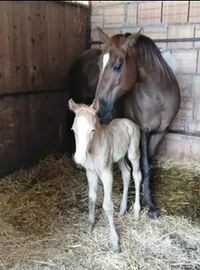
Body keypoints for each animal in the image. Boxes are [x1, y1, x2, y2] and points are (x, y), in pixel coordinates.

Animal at [69, 98, 142, 252]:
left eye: (92, 130)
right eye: (73, 130)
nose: (79, 158)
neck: (92, 148)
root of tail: (129, 122)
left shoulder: (106, 172)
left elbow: (107, 205)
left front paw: (115, 241)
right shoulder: (90, 172)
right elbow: (92, 198)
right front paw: (90, 225)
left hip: (133, 152)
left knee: (137, 175)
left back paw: (136, 213)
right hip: (120, 157)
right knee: (126, 173)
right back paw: (122, 210)